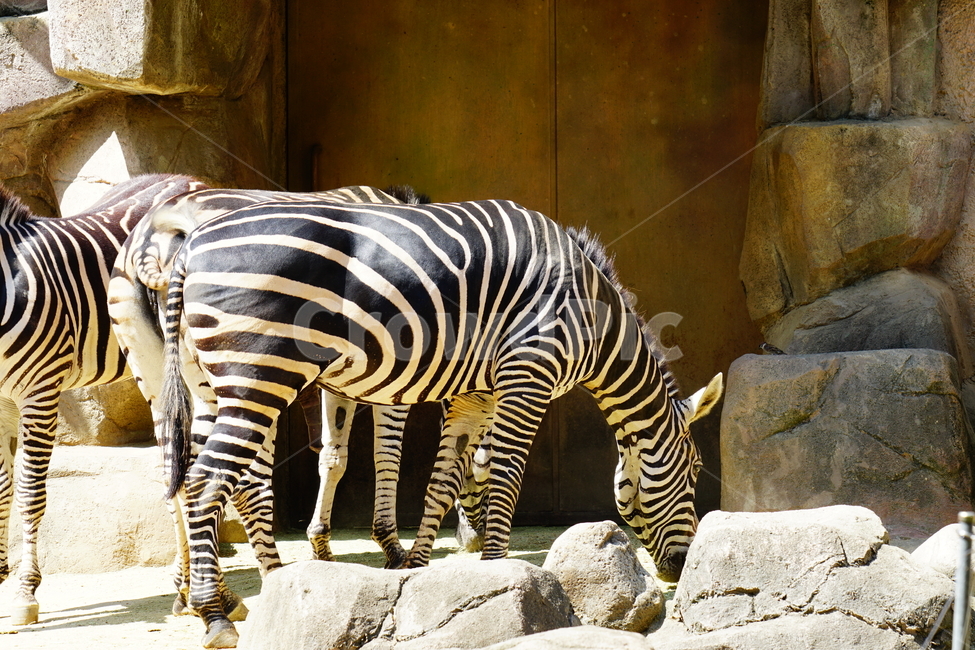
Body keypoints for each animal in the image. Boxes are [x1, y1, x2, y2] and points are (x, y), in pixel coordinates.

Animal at [108, 184, 425, 616]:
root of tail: (160, 227)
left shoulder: (342, 377)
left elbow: (334, 456)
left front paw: (321, 547)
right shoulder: (390, 367)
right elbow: (385, 453)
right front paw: (391, 548)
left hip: (157, 371)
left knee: (177, 474)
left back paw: (198, 592)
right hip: (244, 376)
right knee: (240, 481)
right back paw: (269, 577)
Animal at [159, 198, 722, 647]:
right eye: (697, 471)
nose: (682, 566)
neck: (593, 317)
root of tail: (191, 244)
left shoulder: (476, 393)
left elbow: (443, 480)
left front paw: (419, 566)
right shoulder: (528, 373)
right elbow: (505, 474)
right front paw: (501, 569)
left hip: (205, 381)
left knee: (198, 482)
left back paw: (228, 599)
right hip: (259, 374)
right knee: (209, 483)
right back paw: (214, 616)